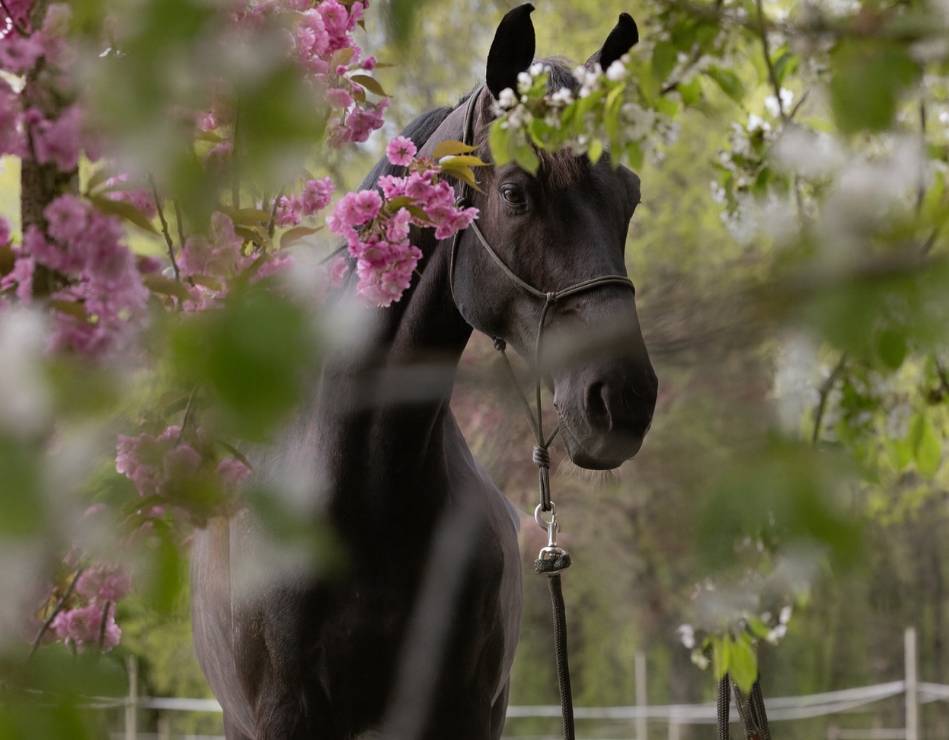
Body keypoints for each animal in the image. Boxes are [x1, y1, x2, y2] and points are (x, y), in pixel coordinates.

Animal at [190, 5, 658, 738]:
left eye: (629, 196)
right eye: (515, 193)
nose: (624, 399)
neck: (370, 501)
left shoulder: (464, 711)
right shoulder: (283, 717)